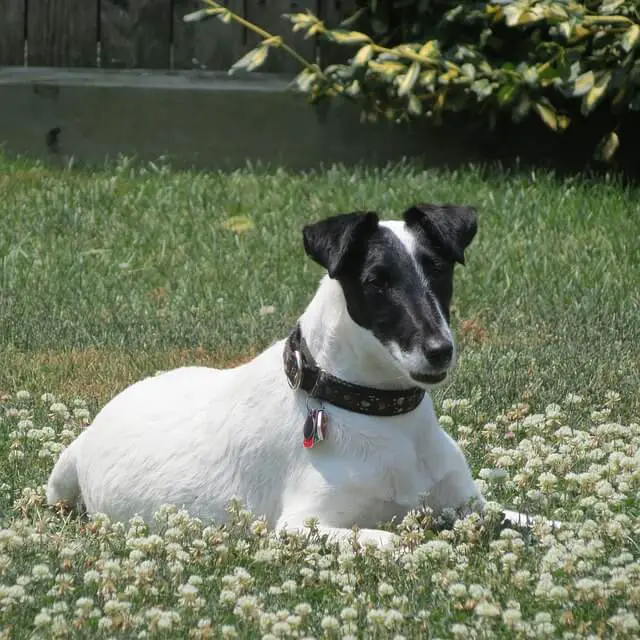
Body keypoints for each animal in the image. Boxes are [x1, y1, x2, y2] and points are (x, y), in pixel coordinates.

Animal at [46, 205, 536, 544]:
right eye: (376, 282)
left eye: (438, 269)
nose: (439, 351)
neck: (377, 410)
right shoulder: (303, 525)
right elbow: (390, 539)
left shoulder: (471, 506)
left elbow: (529, 520)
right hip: (59, 481)